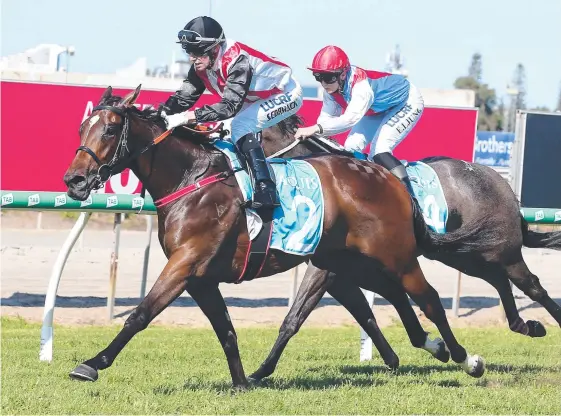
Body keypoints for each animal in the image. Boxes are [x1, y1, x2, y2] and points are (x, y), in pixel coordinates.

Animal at [64, 86, 486, 388]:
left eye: (110, 129)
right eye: (82, 127)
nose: (75, 180)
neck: (191, 179)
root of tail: (390, 177)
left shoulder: (185, 264)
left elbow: (141, 314)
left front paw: (91, 364)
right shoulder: (200, 277)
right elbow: (226, 328)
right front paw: (242, 382)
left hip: (394, 256)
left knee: (428, 298)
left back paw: (468, 359)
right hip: (350, 262)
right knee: (396, 296)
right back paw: (432, 347)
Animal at [247, 114, 560, 384]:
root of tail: (500, 182)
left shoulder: (330, 268)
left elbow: (306, 314)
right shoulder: (343, 269)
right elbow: (360, 310)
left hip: (502, 250)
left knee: (531, 286)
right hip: (464, 255)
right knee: (499, 281)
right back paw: (525, 325)